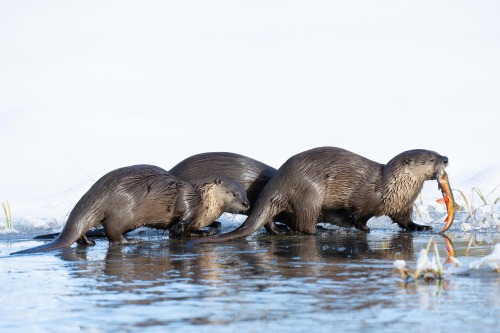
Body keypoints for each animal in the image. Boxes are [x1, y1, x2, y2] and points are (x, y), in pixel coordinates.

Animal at [12, 164, 250, 254]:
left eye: (245, 193)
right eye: (234, 194)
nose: (247, 203)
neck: (203, 203)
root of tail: (100, 192)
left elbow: (193, 230)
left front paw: (205, 232)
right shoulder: (187, 204)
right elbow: (180, 223)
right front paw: (180, 231)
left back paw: (88, 242)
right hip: (124, 212)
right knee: (113, 234)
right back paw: (131, 241)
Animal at [190, 145, 450, 244]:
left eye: (437, 152)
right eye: (430, 159)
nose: (446, 158)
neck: (392, 187)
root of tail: (281, 179)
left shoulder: (402, 206)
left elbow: (405, 221)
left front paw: (422, 227)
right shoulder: (367, 199)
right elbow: (359, 216)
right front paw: (361, 227)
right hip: (311, 193)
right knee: (304, 224)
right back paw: (321, 230)